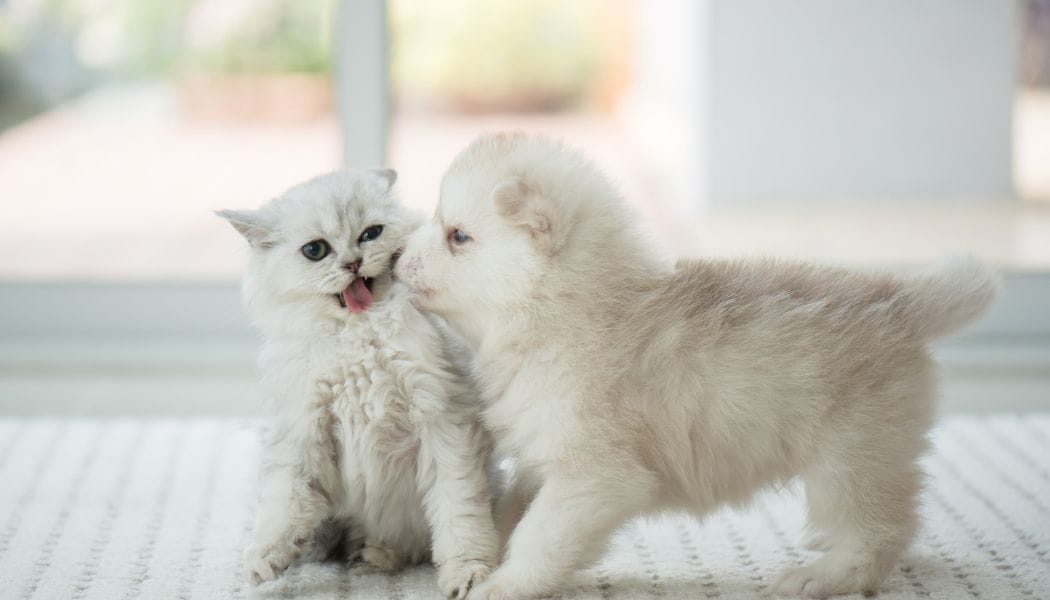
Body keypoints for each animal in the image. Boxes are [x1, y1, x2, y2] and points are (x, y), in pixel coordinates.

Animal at [218, 169, 499, 600]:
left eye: (371, 234)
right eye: (315, 250)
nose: (353, 263)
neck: (358, 335)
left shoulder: (445, 421)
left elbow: (459, 511)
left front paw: (470, 574)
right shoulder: (304, 430)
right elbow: (284, 502)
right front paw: (265, 560)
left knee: (410, 542)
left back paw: (375, 557)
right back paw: (364, 557)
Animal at [394, 136, 999, 600]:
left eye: (458, 235)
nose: (397, 256)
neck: (561, 308)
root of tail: (901, 300)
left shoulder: (595, 477)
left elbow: (540, 535)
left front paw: (505, 583)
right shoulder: (546, 456)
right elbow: (510, 508)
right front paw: (478, 557)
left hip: (849, 458)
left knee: (879, 531)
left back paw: (822, 576)